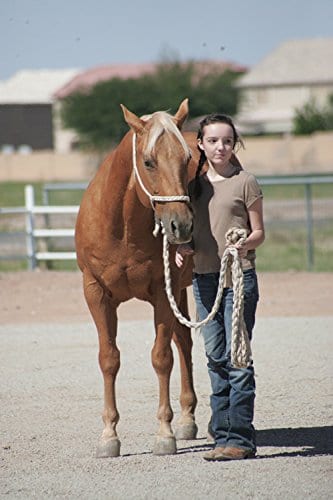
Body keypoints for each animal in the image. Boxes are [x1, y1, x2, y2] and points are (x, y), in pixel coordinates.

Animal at [76, 97, 198, 458]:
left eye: (187, 159)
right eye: (148, 162)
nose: (181, 225)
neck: (124, 229)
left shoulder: (161, 293)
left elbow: (161, 357)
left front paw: (165, 433)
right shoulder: (96, 293)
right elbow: (108, 359)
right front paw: (108, 436)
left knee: (184, 345)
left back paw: (186, 419)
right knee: (184, 342)